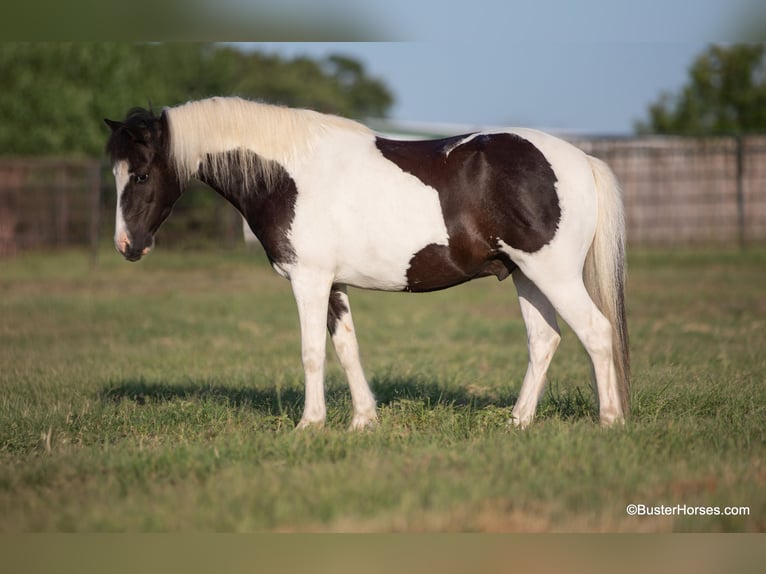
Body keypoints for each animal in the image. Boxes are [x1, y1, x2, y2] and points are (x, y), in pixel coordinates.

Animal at [103, 98, 632, 432]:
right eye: (116, 173)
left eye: (142, 174)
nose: (127, 245)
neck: (288, 174)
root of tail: (581, 159)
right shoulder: (333, 284)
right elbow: (346, 349)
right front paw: (363, 421)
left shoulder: (309, 280)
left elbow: (312, 352)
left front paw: (309, 424)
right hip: (526, 276)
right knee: (545, 340)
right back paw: (518, 421)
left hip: (553, 274)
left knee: (596, 332)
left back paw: (609, 420)